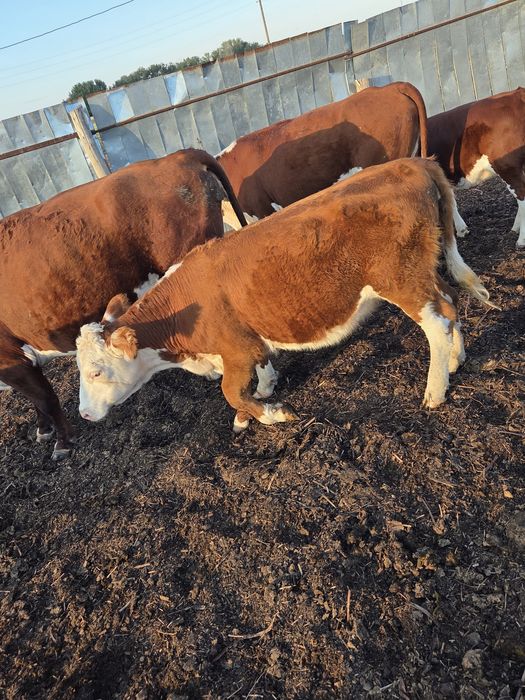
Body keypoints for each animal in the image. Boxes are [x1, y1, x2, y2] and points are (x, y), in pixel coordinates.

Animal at [0, 148, 246, 459]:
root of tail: (179, 156)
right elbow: (36, 400)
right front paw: (44, 430)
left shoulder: (11, 359)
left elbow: (45, 398)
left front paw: (63, 442)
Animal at [76, 158, 495, 435]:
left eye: (96, 371)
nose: (83, 414)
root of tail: (414, 164)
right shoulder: (251, 344)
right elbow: (260, 372)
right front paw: (262, 395)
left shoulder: (236, 349)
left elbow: (231, 392)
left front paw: (270, 414)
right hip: (426, 272)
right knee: (450, 303)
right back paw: (456, 360)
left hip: (401, 281)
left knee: (437, 323)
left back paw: (434, 390)